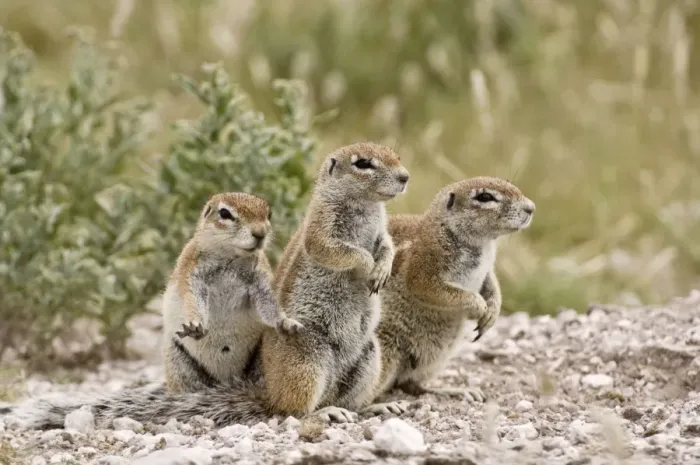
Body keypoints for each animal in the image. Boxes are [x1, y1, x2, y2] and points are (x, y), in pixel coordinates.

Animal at [162, 192, 303, 394]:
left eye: (268, 214)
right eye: (224, 213)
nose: (260, 233)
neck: (230, 256)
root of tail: (225, 379)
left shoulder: (260, 278)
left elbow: (268, 303)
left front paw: (285, 322)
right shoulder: (190, 271)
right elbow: (192, 299)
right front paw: (194, 325)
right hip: (179, 363)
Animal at [374, 176, 535, 402]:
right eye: (485, 197)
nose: (531, 208)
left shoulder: (487, 271)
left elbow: (492, 285)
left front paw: (491, 313)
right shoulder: (424, 264)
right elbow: (433, 289)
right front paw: (479, 306)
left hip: (434, 359)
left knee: (411, 385)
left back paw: (452, 390)